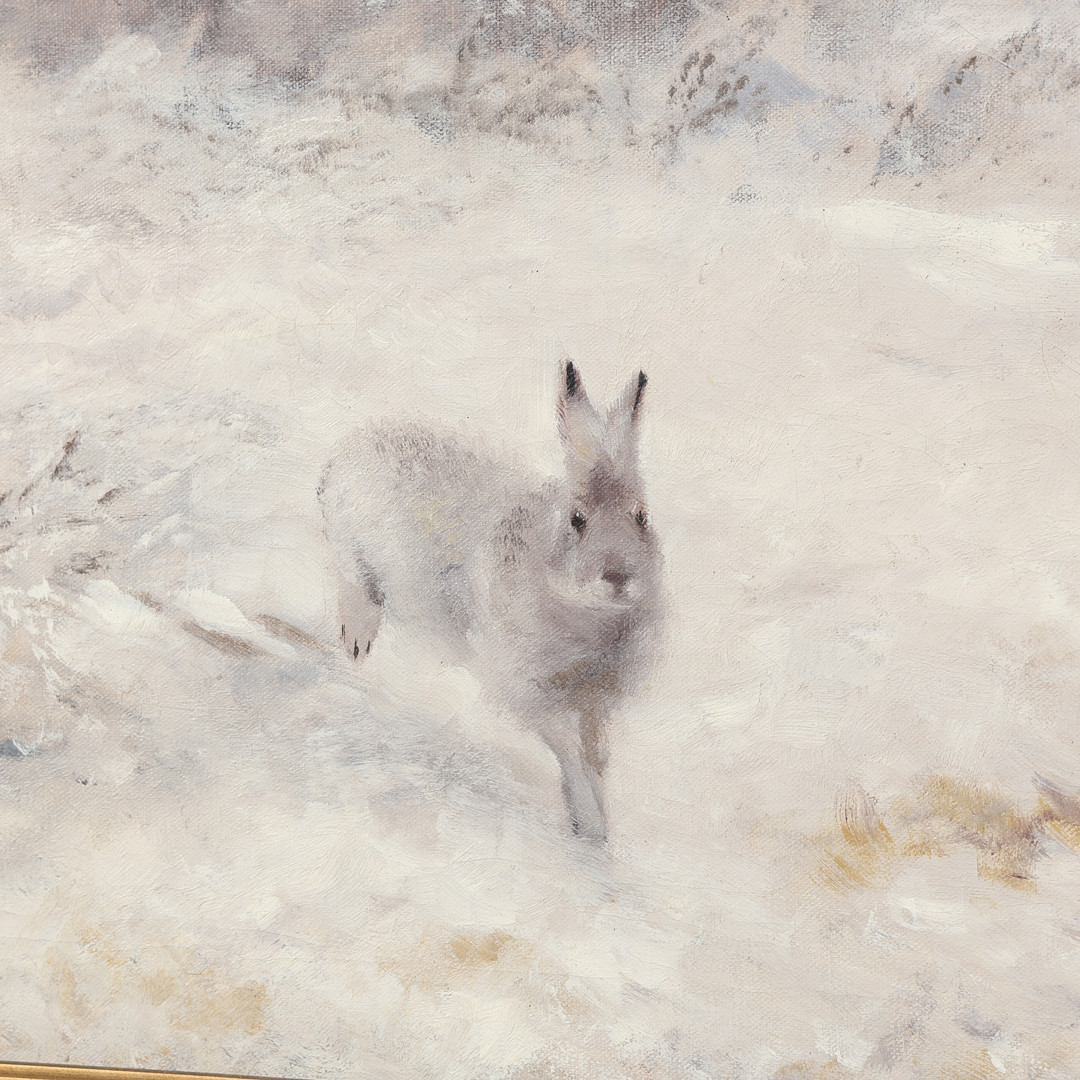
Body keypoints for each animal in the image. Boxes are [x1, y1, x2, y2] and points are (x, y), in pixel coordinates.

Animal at [317, 361, 662, 841]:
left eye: (641, 517)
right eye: (577, 520)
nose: (617, 577)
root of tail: (347, 449)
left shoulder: (596, 704)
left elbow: (596, 758)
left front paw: (598, 827)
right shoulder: (531, 690)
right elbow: (569, 753)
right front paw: (590, 829)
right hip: (352, 552)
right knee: (356, 592)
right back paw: (356, 644)